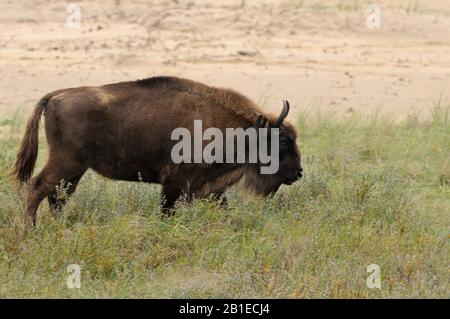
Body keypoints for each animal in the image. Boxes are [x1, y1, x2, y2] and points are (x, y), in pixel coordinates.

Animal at [13, 77, 302, 228]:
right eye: (283, 141)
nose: (298, 173)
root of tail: (56, 96)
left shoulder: (210, 188)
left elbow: (223, 207)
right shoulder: (175, 184)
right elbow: (166, 211)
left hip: (75, 169)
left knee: (58, 196)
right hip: (66, 163)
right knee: (38, 188)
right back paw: (31, 231)